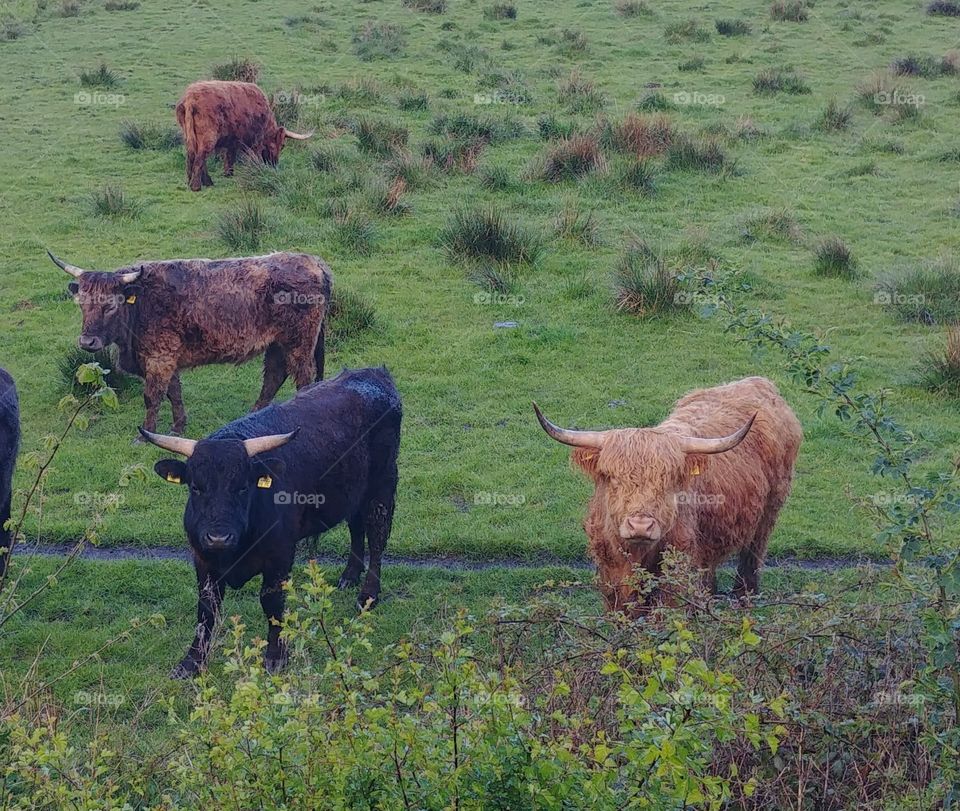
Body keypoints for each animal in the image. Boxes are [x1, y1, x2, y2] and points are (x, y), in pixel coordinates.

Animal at [49, 250, 331, 437]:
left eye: (110, 305)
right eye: (82, 304)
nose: (87, 341)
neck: (141, 304)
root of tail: (313, 261)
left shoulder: (159, 358)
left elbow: (152, 396)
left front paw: (145, 434)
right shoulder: (168, 358)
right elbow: (174, 394)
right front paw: (178, 427)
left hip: (299, 343)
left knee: (302, 378)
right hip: (277, 344)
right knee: (274, 375)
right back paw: (253, 413)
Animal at [140, 367, 402, 678]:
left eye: (243, 487)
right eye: (195, 487)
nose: (218, 538)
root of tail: (374, 373)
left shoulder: (280, 556)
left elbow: (272, 603)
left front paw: (276, 656)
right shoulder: (202, 559)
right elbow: (206, 610)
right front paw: (191, 662)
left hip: (382, 486)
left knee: (377, 536)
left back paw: (368, 594)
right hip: (353, 491)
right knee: (356, 527)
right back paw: (349, 575)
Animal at [175, 80, 313, 191]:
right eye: (282, 145)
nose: (274, 164)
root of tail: (190, 98)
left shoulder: (232, 140)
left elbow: (230, 156)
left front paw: (228, 173)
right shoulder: (256, 140)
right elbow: (254, 156)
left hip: (190, 136)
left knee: (192, 156)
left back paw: (195, 182)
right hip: (208, 137)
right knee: (200, 158)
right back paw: (197, 186)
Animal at [534, 376, 801, 616]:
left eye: (668, 481)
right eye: (611, 477)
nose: (640, 526)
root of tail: (759, 383)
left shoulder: (675, 573)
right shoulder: (611, 576)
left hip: (769, 510)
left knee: (752, 555)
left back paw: (744, 598)